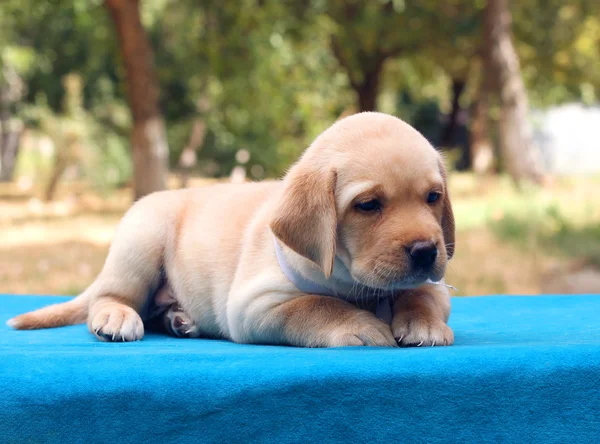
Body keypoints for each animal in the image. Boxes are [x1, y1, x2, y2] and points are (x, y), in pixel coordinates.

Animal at [8, 112, 454, 348]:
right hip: (140, 241)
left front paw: (424, 323)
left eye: (433, 197)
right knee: (110, 297)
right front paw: (360, 325)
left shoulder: (433, 286)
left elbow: (421, 296)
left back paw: (179, 319)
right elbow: (315, 305)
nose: (425, 252)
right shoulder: (254, 306)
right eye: (368, 205)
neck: (354, 283)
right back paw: (118, 317)